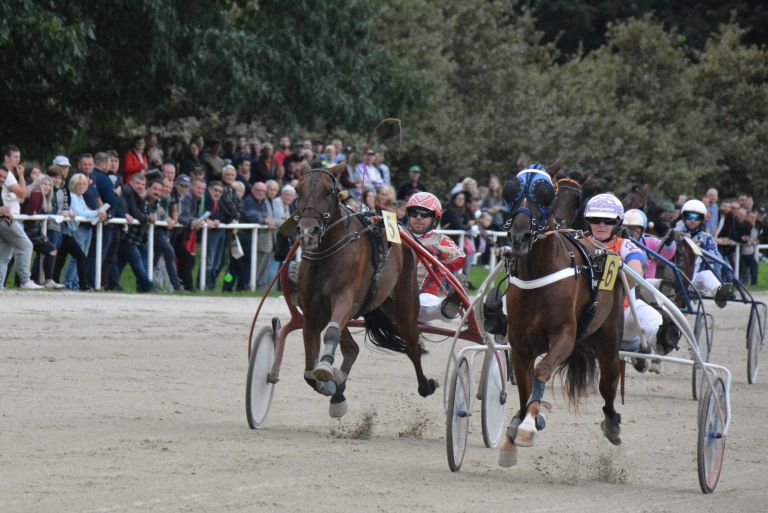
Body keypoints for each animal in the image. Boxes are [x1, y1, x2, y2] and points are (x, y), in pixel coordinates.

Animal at [293, 162, 438, 418]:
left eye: (329, 191)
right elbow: (309, 372)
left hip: (405, 304)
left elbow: (331, 334)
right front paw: (331, 385)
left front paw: (327, 371)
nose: (308, 232)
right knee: (352, 347)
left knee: (412, 346)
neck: (328, 253)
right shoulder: (311, 313)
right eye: (298, 190)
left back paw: (425, 385)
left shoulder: (345, 299)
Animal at [498, 164, 625, 466]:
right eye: (511, 190)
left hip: (608, 339)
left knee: (608, 381)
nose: (519, 237)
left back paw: (612, 423)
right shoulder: (519, 345)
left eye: (544, 192)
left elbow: (541, 370)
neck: (538, 272)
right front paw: (520, 424)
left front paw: (529, 426)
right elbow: (524, 385)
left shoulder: (564, 337)